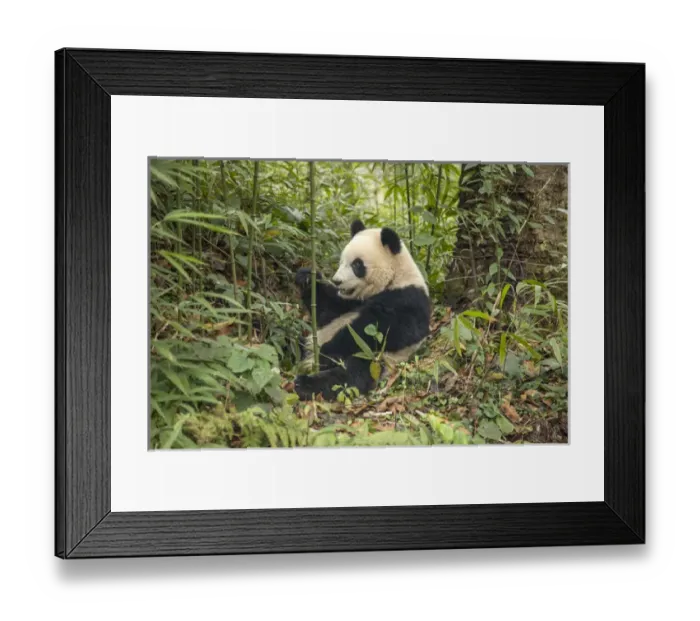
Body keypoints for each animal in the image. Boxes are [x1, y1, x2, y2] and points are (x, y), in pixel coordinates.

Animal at [293, 219, 431, 401]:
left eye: (357, 264)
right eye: (341, 262)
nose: (337, 281)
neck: (394, 278)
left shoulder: (408, 299)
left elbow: (385, 329)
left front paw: (328, 350)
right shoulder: (349, 302)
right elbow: (327, 310)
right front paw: (307, 277)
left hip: (378, 359)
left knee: (351, 374)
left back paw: (306, 383)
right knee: (296, 343)